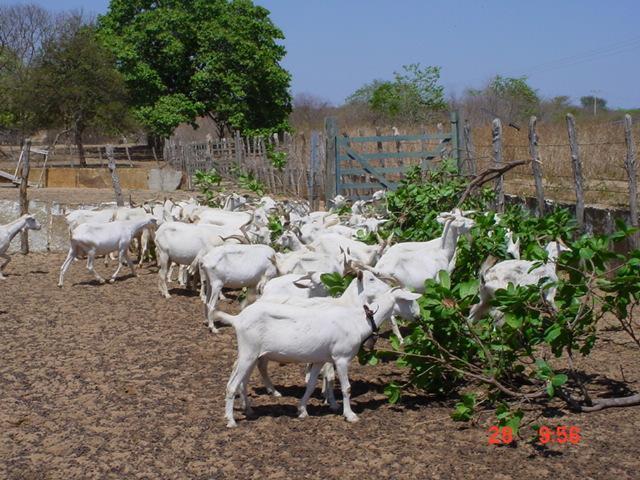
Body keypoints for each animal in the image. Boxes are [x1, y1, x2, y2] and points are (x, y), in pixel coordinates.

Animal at [216, 284, 420, 428]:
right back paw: (231, 420)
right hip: (249, 352)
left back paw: (249, 410)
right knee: (231, 385)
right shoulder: (341, 358)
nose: (419, 317)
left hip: (252, 354)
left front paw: (302, 410)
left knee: (242, 380)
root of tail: (237, 319)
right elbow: (346, 388)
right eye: (409, 301)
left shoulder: (319, 359)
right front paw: (350, 415)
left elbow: (311, 384)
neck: (358, 320)